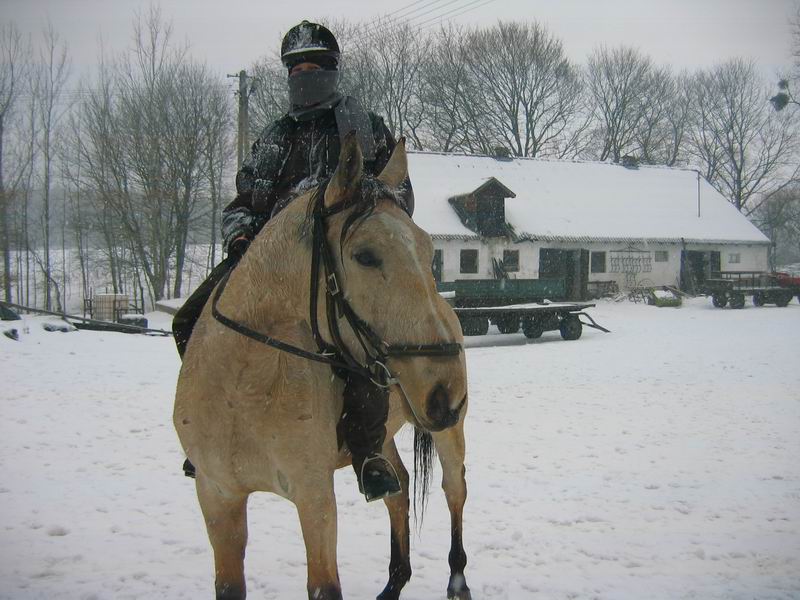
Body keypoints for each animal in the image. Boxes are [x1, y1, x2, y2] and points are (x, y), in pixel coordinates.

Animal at [173, 133, 472, 600]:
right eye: (365, 256)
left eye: (427, 252)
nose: (446, 391)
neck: (244, 387)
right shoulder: (217, 494)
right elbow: (228, 585)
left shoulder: (313, 497)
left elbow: (324, 586)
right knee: (399, 489)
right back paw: (393, 583)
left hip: (448, 436)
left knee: (453, 489)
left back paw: (457, 582)